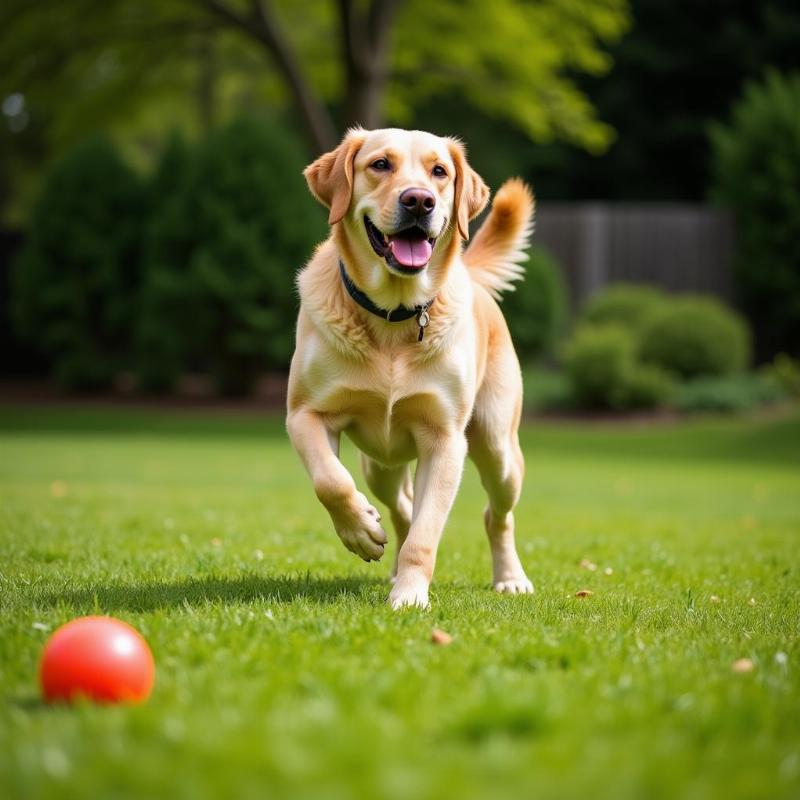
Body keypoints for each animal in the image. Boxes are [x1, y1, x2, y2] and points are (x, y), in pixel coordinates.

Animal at [284, 128, 536, 608]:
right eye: (380, 164)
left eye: (439, 171)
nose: (419, 201)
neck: (394, 314)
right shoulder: (305, 414)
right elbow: (330, 481)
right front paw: (360, 529)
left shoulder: (445, 440)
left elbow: (426, 533)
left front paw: (410, 597)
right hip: (379, 464)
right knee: (399, 507)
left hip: (498, 448)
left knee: (497, 514)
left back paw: (510, 577)